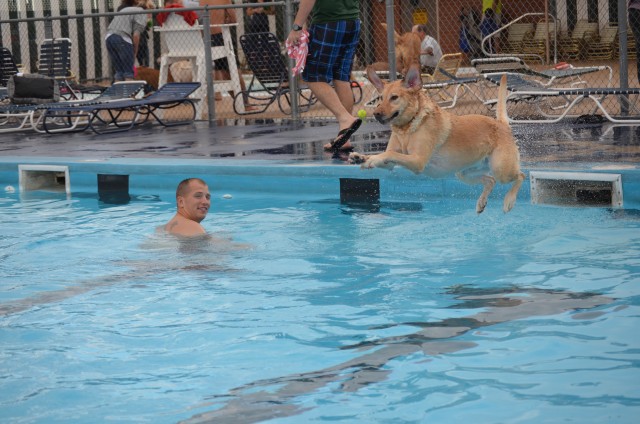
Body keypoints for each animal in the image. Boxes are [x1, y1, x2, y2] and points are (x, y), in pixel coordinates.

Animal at [350, 64, 524, 214]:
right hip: (464, 173)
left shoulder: (418, 160)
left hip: (501, 169)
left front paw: (370, 159)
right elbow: (385, 155)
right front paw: (362, 158)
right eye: (380, 98)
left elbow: (390, 154)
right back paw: (481, 202)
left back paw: (509, 201)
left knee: (520, 175)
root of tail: (501, 124)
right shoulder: (393, 163)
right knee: (490, 180)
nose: (376, 114)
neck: (408, 127)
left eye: (394, 97)